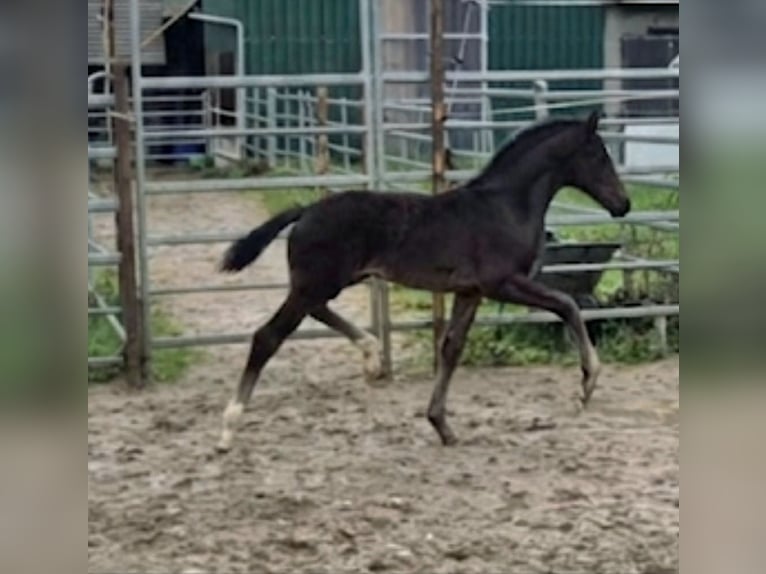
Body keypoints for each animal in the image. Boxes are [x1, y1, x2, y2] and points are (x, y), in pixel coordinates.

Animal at [215, 111, 630, 452]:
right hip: (315, 283)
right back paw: (228, 428)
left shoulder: (470, 292)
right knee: (267, 336)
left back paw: (371, 354)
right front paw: (588, 383)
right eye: (600, 156)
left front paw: (441, 425)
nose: (623, 205)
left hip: (324, 283)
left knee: (316, 312)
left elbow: (451, 348)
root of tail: (306, 210)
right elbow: (567, 304)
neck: (506, 206)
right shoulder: (501, 283)